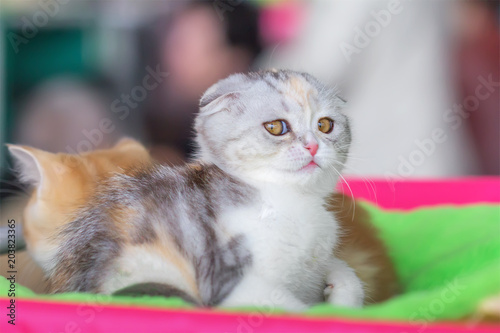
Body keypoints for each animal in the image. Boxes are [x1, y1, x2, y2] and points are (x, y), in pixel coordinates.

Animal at [6, 70, 394, 308]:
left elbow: (342, 282)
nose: (313, 146)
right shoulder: (228, 279)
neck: (290, 203)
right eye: (276, 127)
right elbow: (288, 307)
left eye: (326, 125)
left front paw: (342, 292)